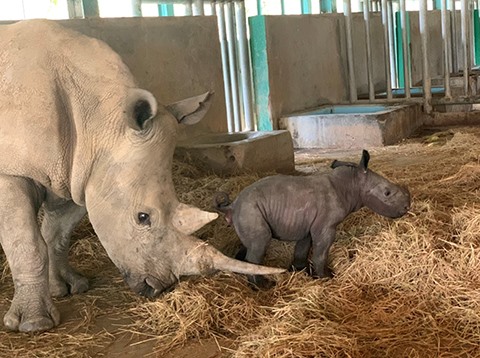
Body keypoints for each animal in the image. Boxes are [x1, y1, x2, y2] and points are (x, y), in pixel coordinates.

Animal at [0, 19, 284, 332]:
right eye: (143, 217)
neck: (98, 121)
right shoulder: (11, 172)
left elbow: (56, 234)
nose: (159, 287)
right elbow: (27, 244)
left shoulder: (77, 172)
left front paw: (68, 288)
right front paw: (35, 324)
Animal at [216, 150, 410, 286]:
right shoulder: (325, 226)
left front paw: (301, 272)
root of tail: (232, 205)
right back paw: (263, 287)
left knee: (250, 243)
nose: (407, 207)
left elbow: (302, 249)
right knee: (261, 241)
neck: (351, 185)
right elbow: (321, 252)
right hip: (250, 209)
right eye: (387, 193)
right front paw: (326, 277)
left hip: (247, 211)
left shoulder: (308, 224)